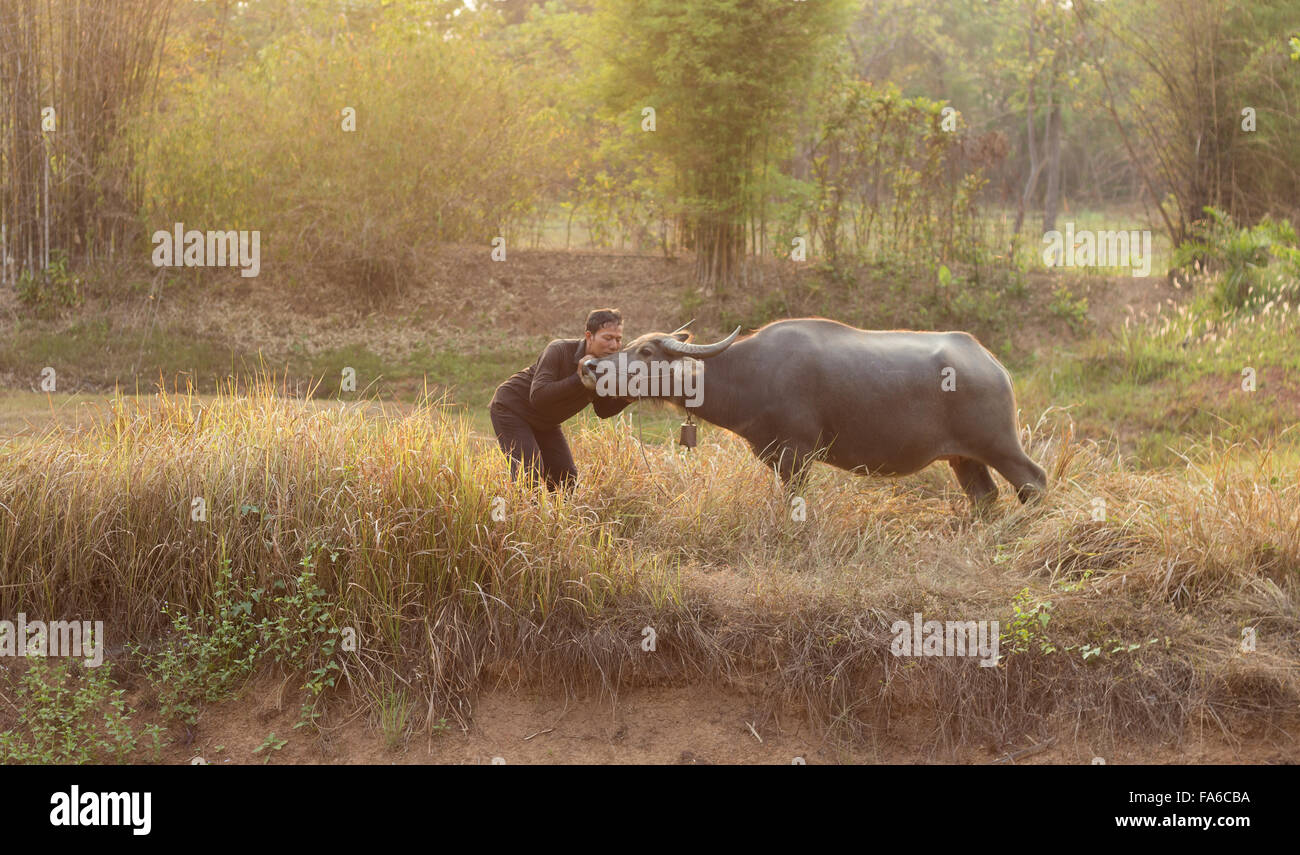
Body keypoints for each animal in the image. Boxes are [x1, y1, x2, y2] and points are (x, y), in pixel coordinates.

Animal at [585, 318, 1050, 506]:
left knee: (1034, 481)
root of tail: (991, 363)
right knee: (984, 496)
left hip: (1000, 444)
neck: (751, 373)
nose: (591, 366)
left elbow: (793, 499)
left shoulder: (797, 454)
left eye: (646, 352)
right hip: (964, 457)